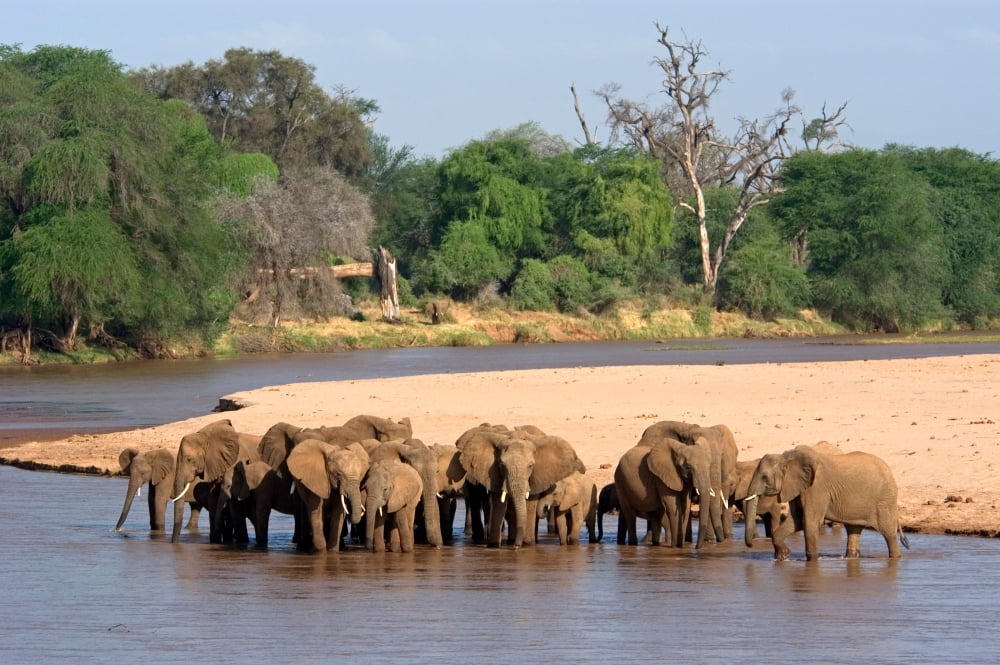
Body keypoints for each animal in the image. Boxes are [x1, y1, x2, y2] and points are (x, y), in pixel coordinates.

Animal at [743, 445, 910, 560]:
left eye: (764, 477)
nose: (751, 545)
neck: (787, 458)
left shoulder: (816, 488)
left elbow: (809, 522)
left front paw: (811, 561)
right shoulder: (799, 487)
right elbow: (796, 520)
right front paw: (784, 556)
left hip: (884, 499)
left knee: (889, 533)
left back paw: (896, 557)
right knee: (853, 530)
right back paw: (851, 557)